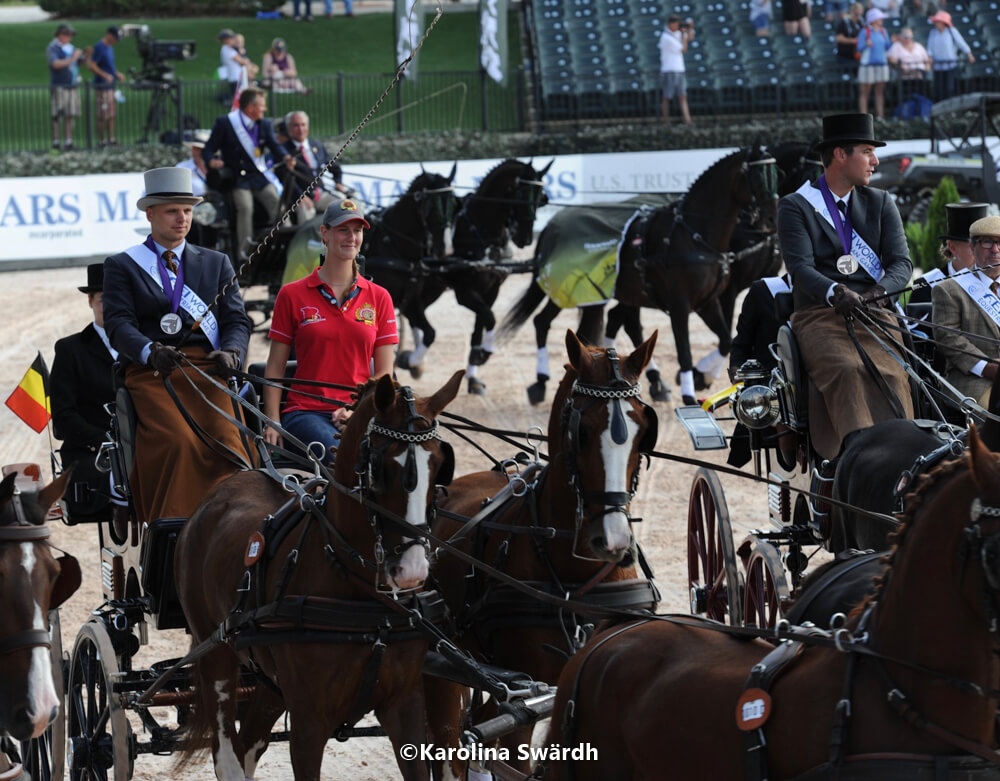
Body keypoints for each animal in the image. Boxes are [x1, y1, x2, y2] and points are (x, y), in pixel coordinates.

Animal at [175, 371, 463, 781]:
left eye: (439, 465)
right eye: (381, 467)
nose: (411, 570)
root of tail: (220, 491)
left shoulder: (404, 703)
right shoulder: (310, 720)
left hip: (271, 679)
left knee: (249, 742)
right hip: (215, 653)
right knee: (228, 754)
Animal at [394, 158, 553, 394]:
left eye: (540, 195)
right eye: (521, 193)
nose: (525, 238)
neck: (479, 230)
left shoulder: (491, 291)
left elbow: (480, 328)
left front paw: (473, 376)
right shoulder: (465, 292)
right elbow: (490, 317)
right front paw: (483, 354)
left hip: (432, 287)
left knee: (413, 311)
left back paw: (415, 362)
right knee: (411, 311)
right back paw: (411, 360)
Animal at [502, 146, 780, 406]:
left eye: (776, 174)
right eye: (758, 177)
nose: (771, 218)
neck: (692, 235)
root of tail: (551, 226)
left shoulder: (707, 302)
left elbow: (725, 340)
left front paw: (704, 375)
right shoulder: (680, 305)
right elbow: (684, 351)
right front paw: (689, 392)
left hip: (598, 296)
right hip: (571, 291)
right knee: (543, 322)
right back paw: (542, 384)